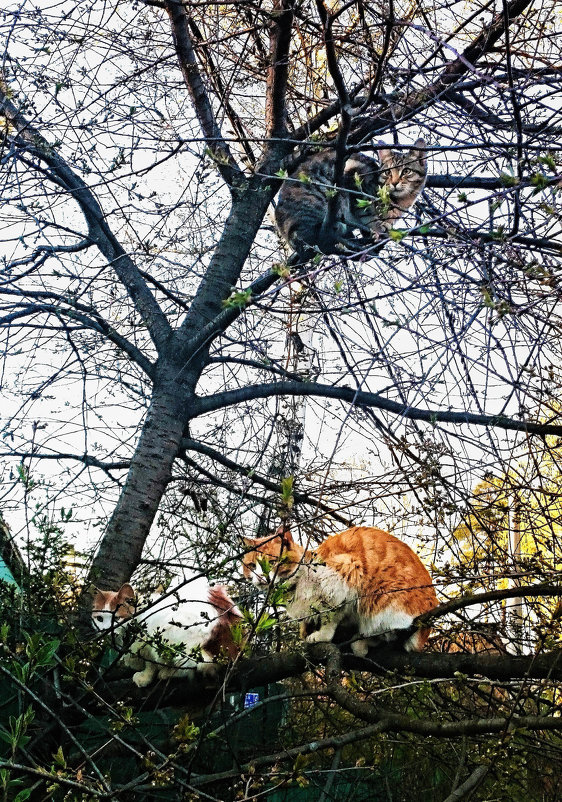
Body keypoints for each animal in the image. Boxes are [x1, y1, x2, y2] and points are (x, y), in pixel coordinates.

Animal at [91, 572, 241, 684]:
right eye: (100, 619)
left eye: (116, 619)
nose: (105, 631)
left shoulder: (145, 643)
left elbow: (150, 665)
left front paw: (145, 677)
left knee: (198, 665)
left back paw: (167, 673)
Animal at [243, 524, 436, 648]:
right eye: (251, 566)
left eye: (272, 562)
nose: (260, 577)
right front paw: (305, 630)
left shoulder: (343, 574)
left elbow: (331, 617)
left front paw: (321, 635)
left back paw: (361, 642)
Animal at [274, 139, 424, 255]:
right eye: (387, 172)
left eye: (406, 171)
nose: (394, 183)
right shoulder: (352, 177)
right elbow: (366, 213)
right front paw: (376, 227)